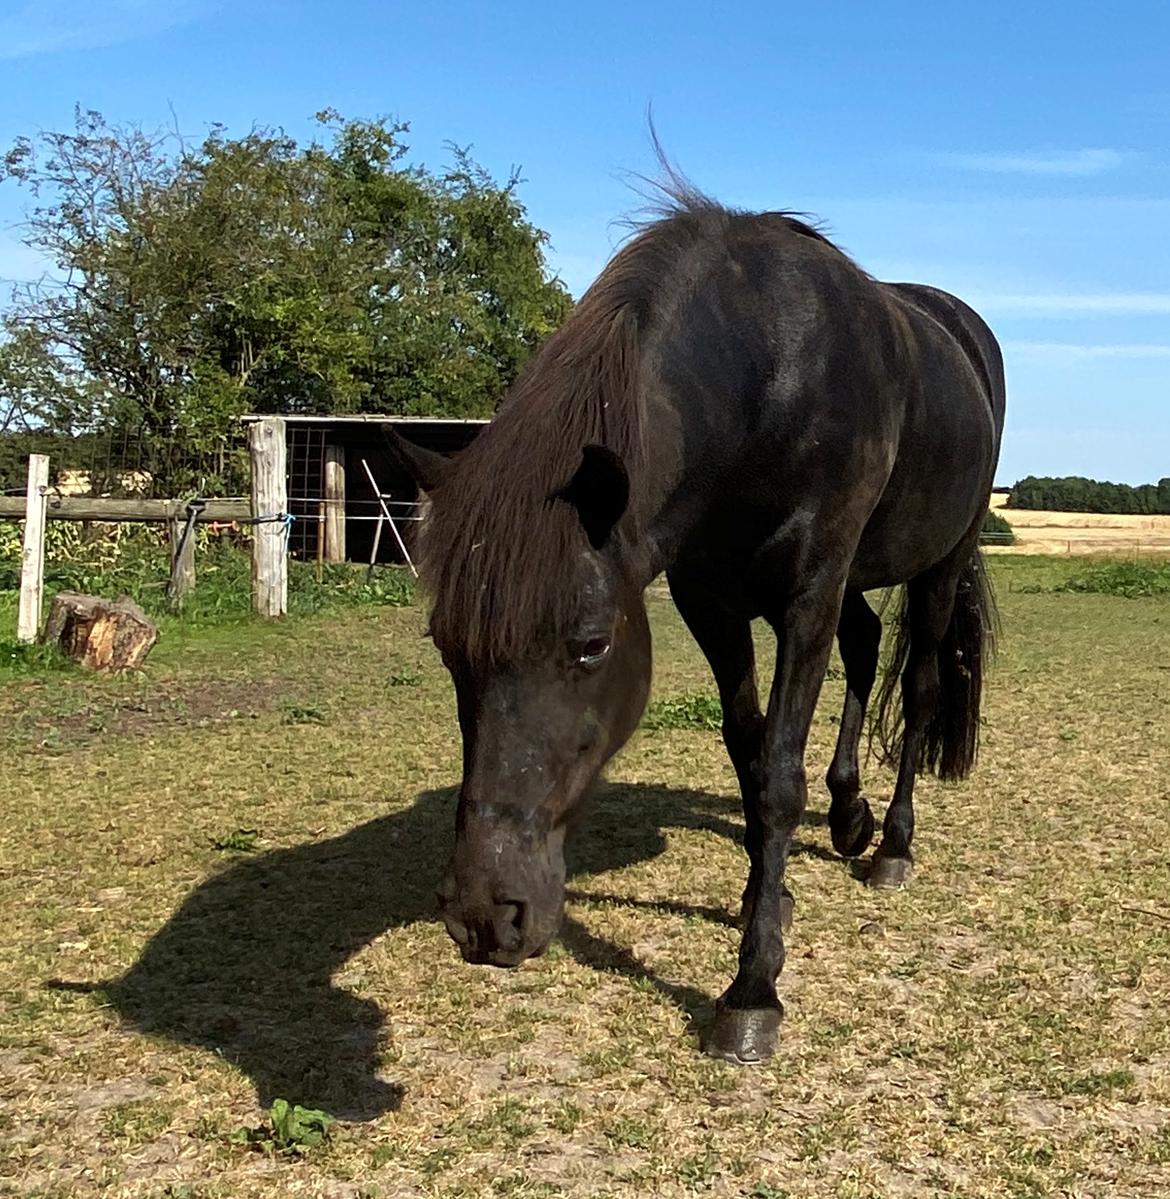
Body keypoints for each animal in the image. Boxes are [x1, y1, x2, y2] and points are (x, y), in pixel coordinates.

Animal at [386, 179, 1006, 1069]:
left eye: (592, 644)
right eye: (447, 647)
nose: (484, 915)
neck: (768, 378)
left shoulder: (807, 595)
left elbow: (777, 775)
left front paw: (753, 988)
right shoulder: (712, 603)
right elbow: (748, 760)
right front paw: (764, 900)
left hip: (939, 566)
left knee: (918, 687)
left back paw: (891, 845)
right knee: (862, 648)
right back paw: (848, 817)